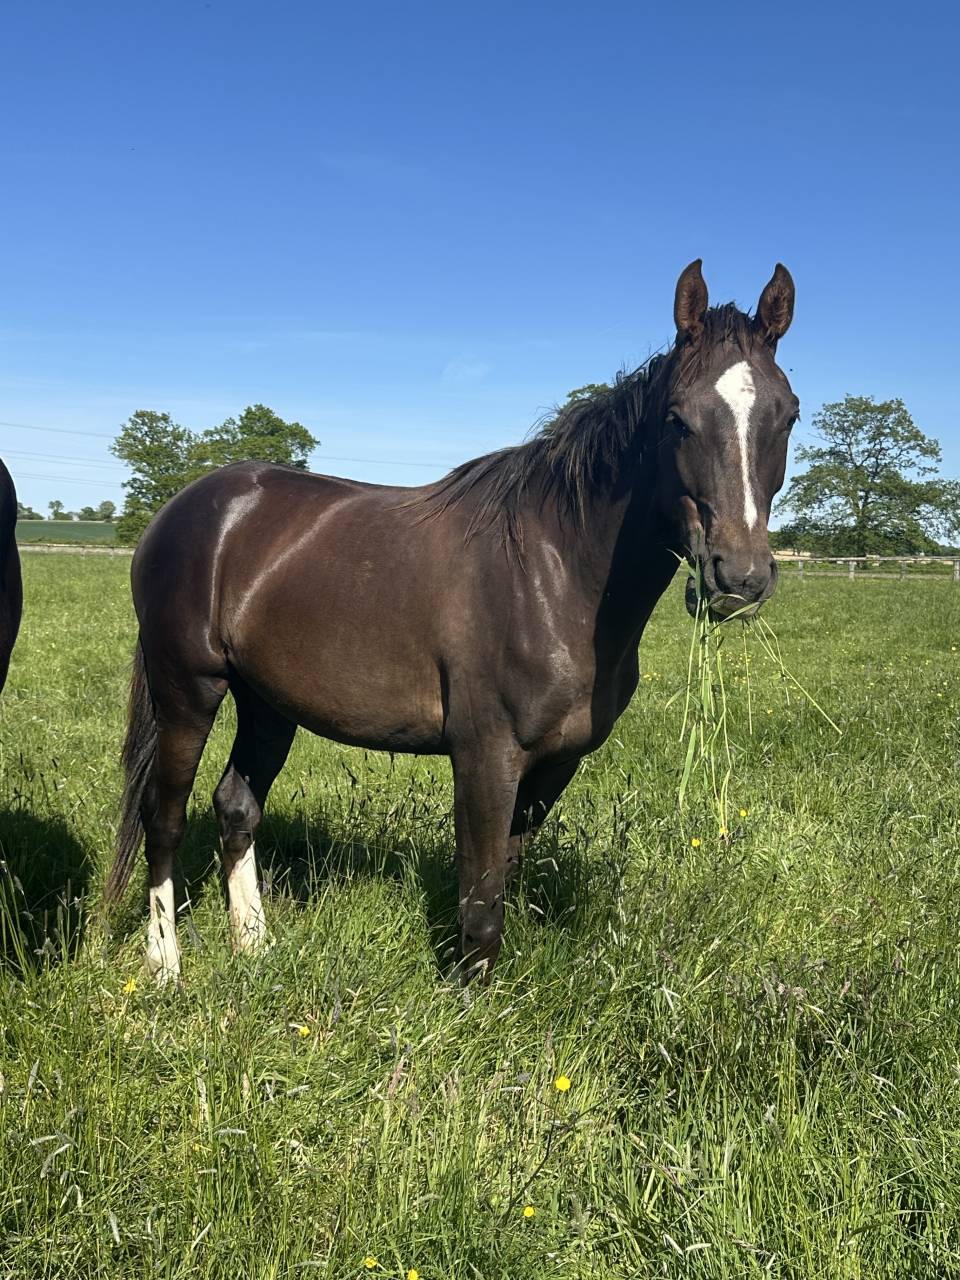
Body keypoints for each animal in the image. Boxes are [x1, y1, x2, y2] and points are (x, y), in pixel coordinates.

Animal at [106, 260, 798, 984]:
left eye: (787, 416)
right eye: (677, 420)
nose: (739, 577)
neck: (553, 573)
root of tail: (186, 507)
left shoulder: (553, 765)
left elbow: (502, 878)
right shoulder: (484, 755)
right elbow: (481, 896)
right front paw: (468, 1004)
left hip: (266, 702)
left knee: (236, 806)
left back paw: (255, 944)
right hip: (188, 689)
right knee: (164, 815)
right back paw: (164, 962)